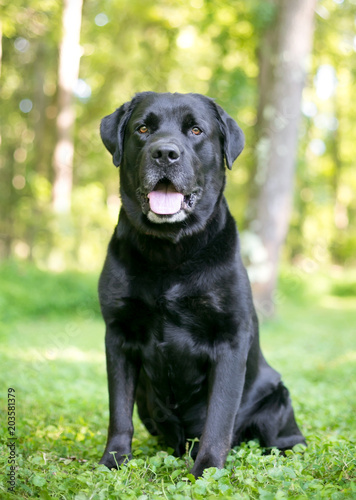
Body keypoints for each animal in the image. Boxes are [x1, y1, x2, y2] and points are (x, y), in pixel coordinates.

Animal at [98, 92, 306, 478]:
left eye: (196, 130)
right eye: (143, 128)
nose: (165, 153)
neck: (170, 252)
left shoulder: (230, 339)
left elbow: (219, 418)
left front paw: (207, 470)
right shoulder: (118, 334)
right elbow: (118, 411)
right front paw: (113, 461)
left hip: (277, 397)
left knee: (286, 438)